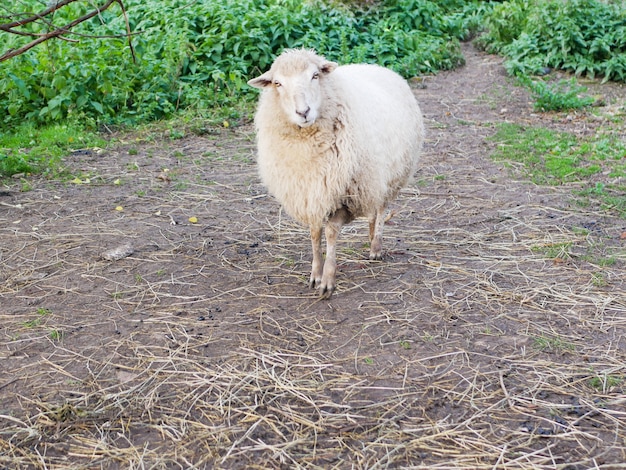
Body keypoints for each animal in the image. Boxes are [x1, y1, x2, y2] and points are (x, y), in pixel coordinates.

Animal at [246, 47, 422, 298]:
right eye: (278, 83)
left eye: (315, 75)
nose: (303, 112)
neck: (307, 145)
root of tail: (376, 66)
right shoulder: (310, 193)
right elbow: (314, 233)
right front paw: (315, 274)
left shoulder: (341, 194)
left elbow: (330, 234)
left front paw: (328, 279)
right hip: (370, 181)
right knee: (372, 212)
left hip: (388, 175)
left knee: (380, 210)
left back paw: (376, 247)